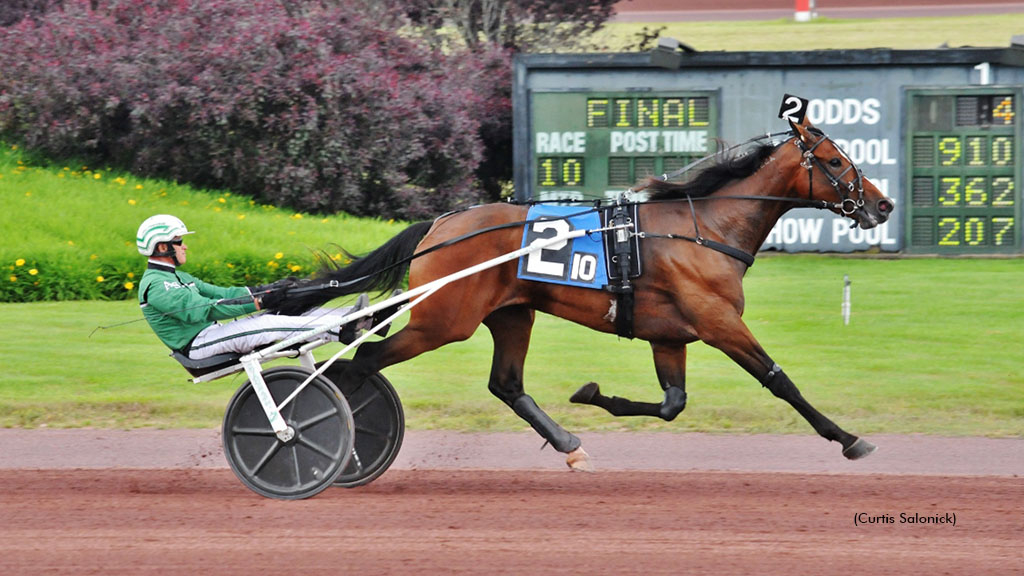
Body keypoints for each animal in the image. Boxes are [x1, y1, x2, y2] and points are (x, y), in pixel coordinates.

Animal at [276, 118, 892, 469]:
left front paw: (593, 394)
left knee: (505, 384)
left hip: (511, 315)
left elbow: (672, 404)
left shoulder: (670, 336)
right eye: (835, 162)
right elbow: (780, 382)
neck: (705, 229)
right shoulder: (720, 323)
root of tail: (440, 226)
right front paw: (848, 438)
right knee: (360, 362)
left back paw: (569, 444)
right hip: (442, 321)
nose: (882, 205)